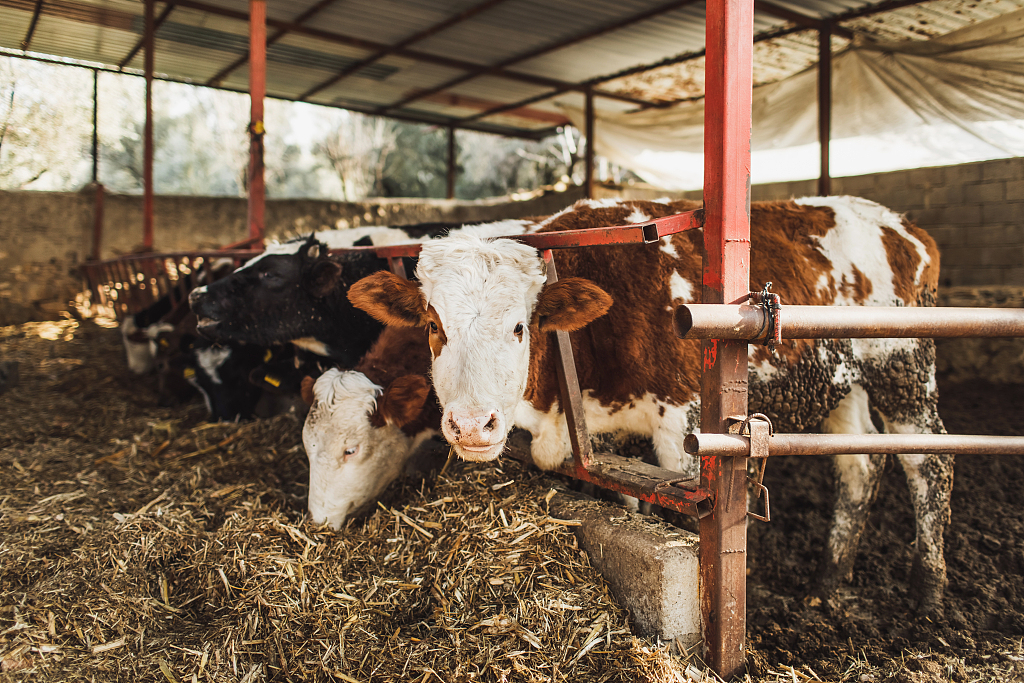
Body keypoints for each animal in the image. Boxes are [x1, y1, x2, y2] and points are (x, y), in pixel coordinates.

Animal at [347, 196, 953, 615]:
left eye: (520, 326)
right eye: (433, 326)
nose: (472, 425)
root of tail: (905, 226)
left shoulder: (683, 427)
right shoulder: (606, 430)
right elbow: (628, 504)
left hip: (905, 364)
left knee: (928, 465)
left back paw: (928, 595)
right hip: (839, 383)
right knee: (860, 464)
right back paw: (827, 582)